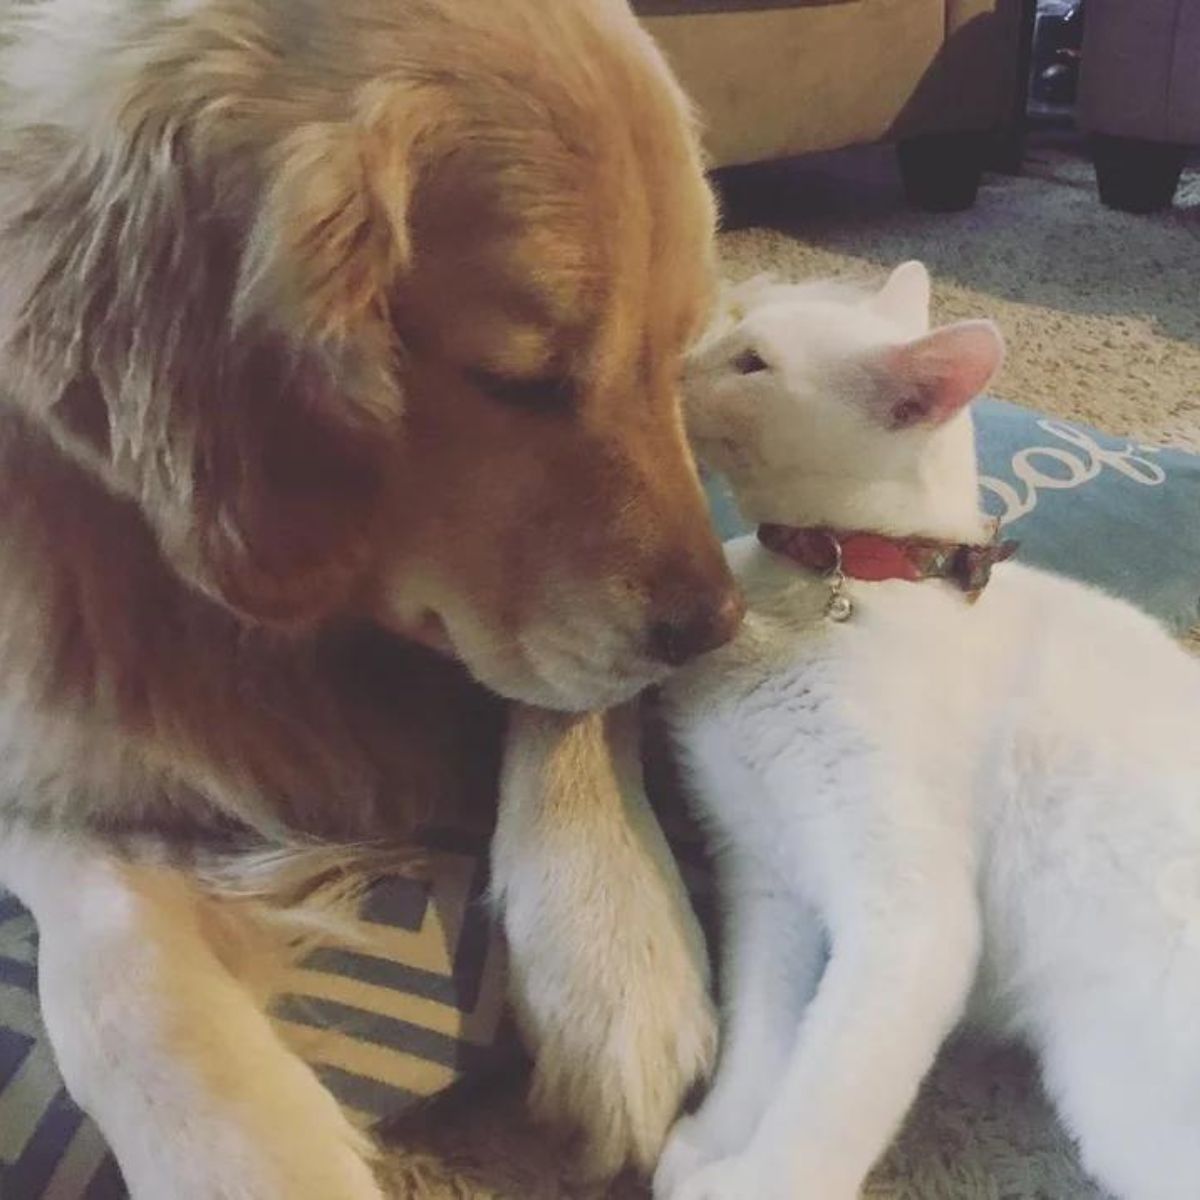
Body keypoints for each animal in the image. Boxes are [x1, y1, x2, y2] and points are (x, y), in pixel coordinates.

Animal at [0, 0, 739, 1195]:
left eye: (675, 356)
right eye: (521, 383)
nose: (718, 625)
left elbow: (567, 697)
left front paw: (616, 943)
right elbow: (117, 945)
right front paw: (242, 1149)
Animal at [652, 265, 1200, 1200]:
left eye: (752, 362)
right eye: (728, 329)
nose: (669, 365)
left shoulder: (910, 916)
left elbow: (828, 1084)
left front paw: (759, 1179)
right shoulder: (764, 876)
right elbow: (759, 1033)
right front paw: (716, 1139)